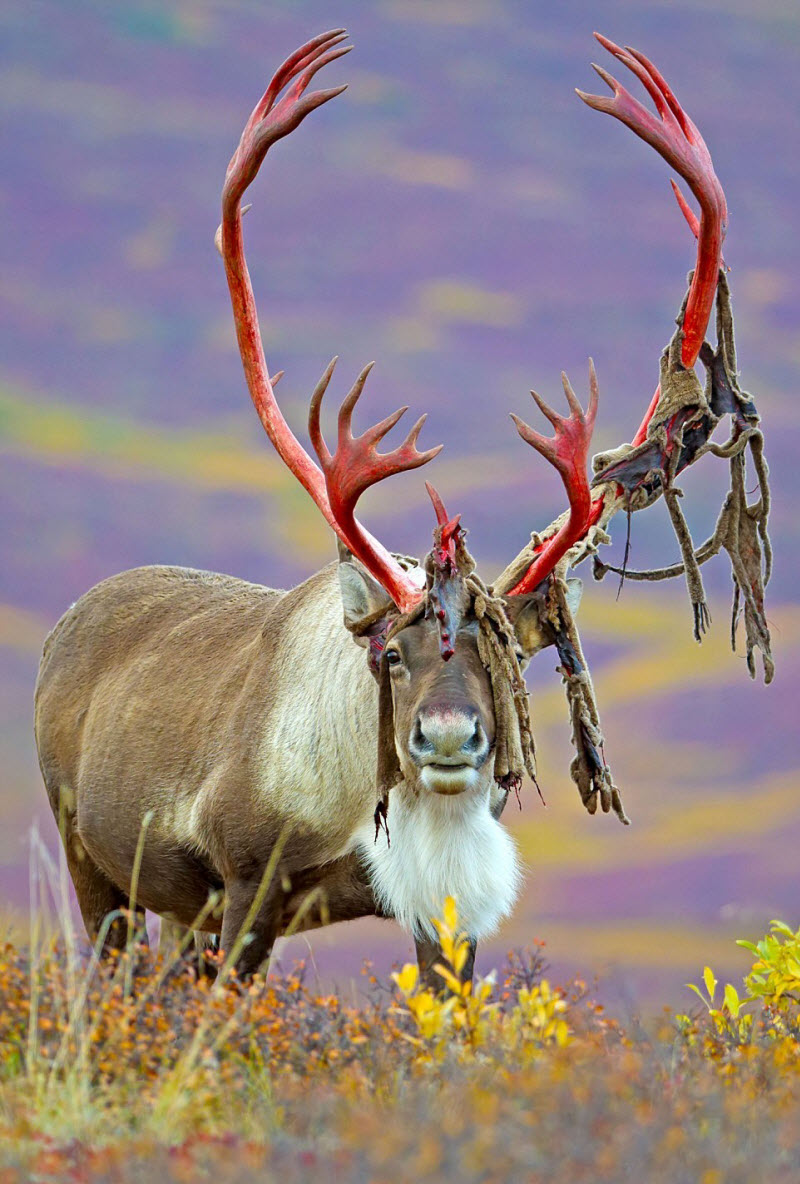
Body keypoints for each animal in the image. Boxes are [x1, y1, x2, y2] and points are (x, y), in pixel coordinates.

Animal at [34, 30, 773, 989]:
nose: (449, 741)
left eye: (505, 656)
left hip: (172, 907)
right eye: (391, 653)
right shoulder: (247, 880)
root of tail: (69, 621)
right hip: (94, 866)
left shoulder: (439, 914)